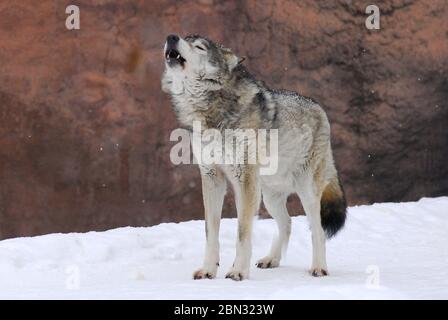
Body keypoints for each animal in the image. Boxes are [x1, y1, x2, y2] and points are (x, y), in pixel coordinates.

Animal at [161, 33, 346, 282]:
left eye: (199, 46)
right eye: (183, 37)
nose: (171, 37)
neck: (210, 110)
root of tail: (319, 107)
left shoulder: (245, 179)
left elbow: (243, 233)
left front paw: (238, 271)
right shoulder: (212, 177)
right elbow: (211, 233)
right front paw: (208, 270)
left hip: (304, 191)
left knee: (317, 230)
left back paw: (319, 268)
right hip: (269, 196)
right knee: (287, 223)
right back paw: (271, 260)